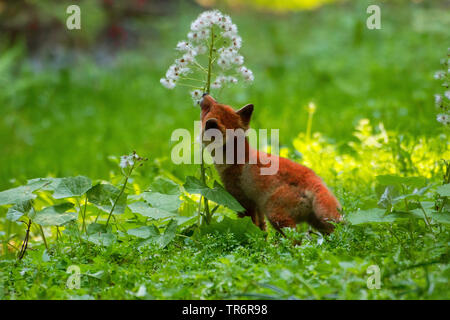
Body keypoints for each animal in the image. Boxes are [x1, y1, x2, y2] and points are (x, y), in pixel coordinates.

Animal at [200, 94, 342, 234]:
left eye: (207, 109)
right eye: (214, 104)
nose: (204, 94)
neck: (237, 160)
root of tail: (313, 179)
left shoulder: (242, 202)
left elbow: (249, 226)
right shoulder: (257, 205)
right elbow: (261, 229)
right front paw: (260, 240)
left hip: (276, 216)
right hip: (320, 222)